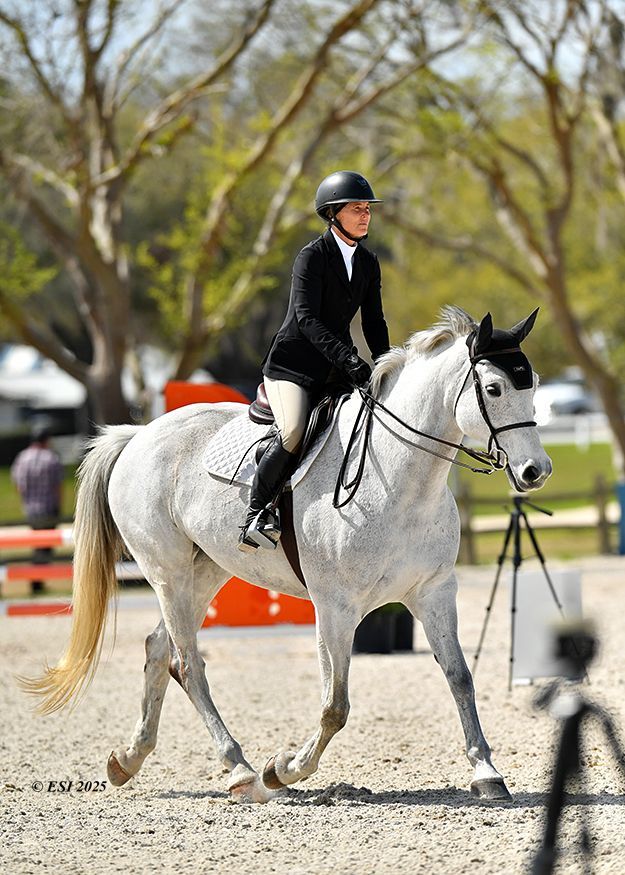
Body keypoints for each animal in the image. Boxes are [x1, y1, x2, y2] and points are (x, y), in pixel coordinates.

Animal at [21, 306, 552, 804]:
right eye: (494, 388)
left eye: (534, 386)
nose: (535, 472)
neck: (402, 483)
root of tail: (138, 434)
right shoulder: (335, 607)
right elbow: (335, 705)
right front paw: (284, 769)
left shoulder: (434, 592)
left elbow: (460, 677)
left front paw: (487, 773)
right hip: (167, 571)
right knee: (188, 664)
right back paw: (242, 772)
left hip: (205, 571)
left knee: (159, 650)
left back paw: (128, 760)